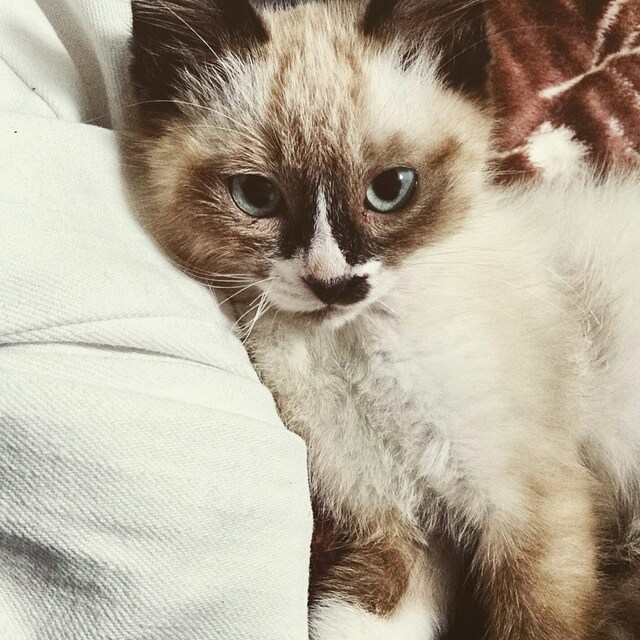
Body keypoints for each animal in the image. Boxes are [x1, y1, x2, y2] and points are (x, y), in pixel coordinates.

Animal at [126, 0, 640, 638]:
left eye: (392, 189)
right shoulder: (401, 526)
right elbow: (345, 618)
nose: (333, 283)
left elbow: (533, 622)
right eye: (256, 196)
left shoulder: (531, 509)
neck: (356, 348)